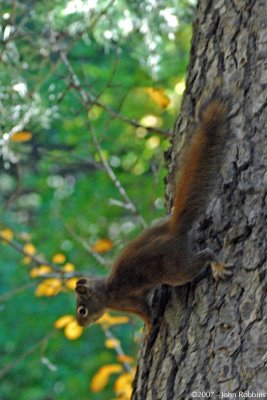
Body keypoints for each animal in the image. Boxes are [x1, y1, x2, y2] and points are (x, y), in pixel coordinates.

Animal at [75, 97, 234, 332]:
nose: (80, 324)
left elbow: (146, 313)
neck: (105, 291)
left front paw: (150, 328)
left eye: (82, 310)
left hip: (177, 269)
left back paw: (218, 266)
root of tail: (174, 228)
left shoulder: (129, 302)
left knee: (205, 254)